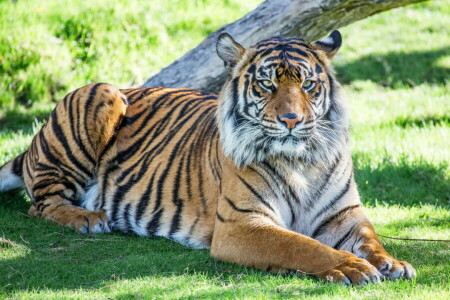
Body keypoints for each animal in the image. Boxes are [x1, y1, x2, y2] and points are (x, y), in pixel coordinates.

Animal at [0, 29, 414, 284]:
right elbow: (301, 246)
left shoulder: (344, 215)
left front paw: (391, 263)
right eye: (266, 84)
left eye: (309, 84)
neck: (300, 161)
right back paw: (89, 219)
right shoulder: (241, 224)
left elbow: (371, 239)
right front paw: (351, 267)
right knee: (41, 205)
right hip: (100, 94)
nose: (292, 120)